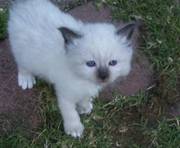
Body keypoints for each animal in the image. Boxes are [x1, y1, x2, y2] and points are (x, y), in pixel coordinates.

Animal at [7, 0, 136, 138]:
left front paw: (84, 107)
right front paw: (74, 129)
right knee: (22, 65)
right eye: (91, 63)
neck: (83, 78)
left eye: (113, 63)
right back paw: (26, 80)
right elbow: (70, 113)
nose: (103, 76)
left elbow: (84, 97)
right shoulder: (65, 94)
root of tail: (22, 5)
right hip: (24, 53)